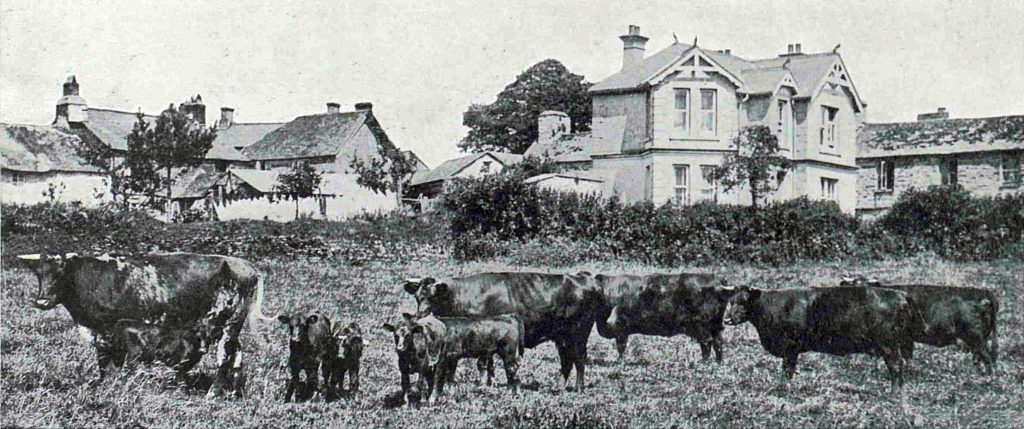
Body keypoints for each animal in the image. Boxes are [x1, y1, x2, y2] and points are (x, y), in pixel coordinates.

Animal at [18, 249, 274, 397]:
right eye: (39, 274)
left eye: (60, 273)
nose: (42, 301)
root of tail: (245, 265)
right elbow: (105, 363)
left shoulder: (108, 329)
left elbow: (109, 363)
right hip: (233, 325)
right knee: (237, 355)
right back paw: (234, 393)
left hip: (225, 325)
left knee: (225, 356)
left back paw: (213, 393)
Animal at [401, 274, 606, 395]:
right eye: (417, 297)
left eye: (433, 296)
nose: (420, 316)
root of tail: (587, 279)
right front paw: (488, 382)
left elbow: (482, 363)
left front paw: (484, 384)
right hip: (563, 337)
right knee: (566, 360)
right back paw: (559, 387)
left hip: (579, 334)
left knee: (579, 358)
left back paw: (578, 388)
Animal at [585, 274, 737, 364]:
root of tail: (717, 282)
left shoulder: (621, 327)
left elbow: (621, 347)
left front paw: (620, 362)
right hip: (716, 324)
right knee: (718, 342)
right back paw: (718, 362)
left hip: (702, 324)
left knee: (707, 342)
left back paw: (703, 363)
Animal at [720, 284, 921, 389]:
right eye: (731, 301)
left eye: (744, 301)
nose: (727, 319)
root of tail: (901, 294)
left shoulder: (791, 347)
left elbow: (787, 370)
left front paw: (783, 388)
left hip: (889, 345)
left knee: (896, 365)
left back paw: (895, 391)